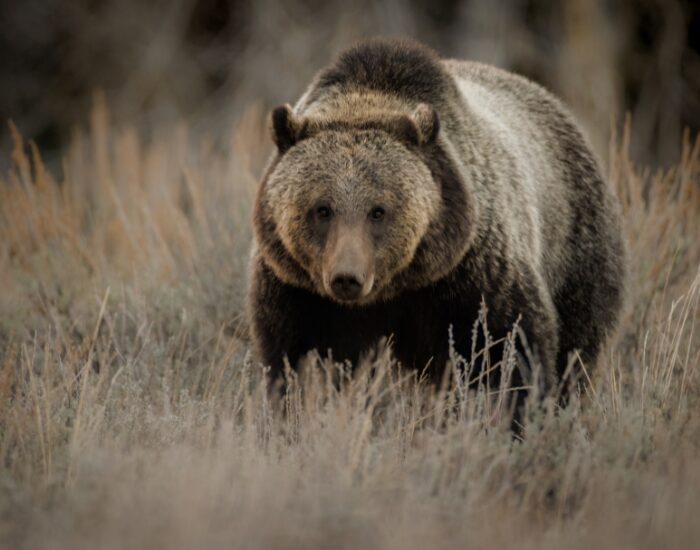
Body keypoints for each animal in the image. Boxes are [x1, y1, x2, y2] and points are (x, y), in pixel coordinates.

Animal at [247, 38, 626, 398]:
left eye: (378, 211)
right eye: (322, 209)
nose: (347, 278)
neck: (393, 290)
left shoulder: (472, 275)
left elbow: (508, 350)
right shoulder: (298, 292)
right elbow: (302, 362)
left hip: (577, 250)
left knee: (578, 348)